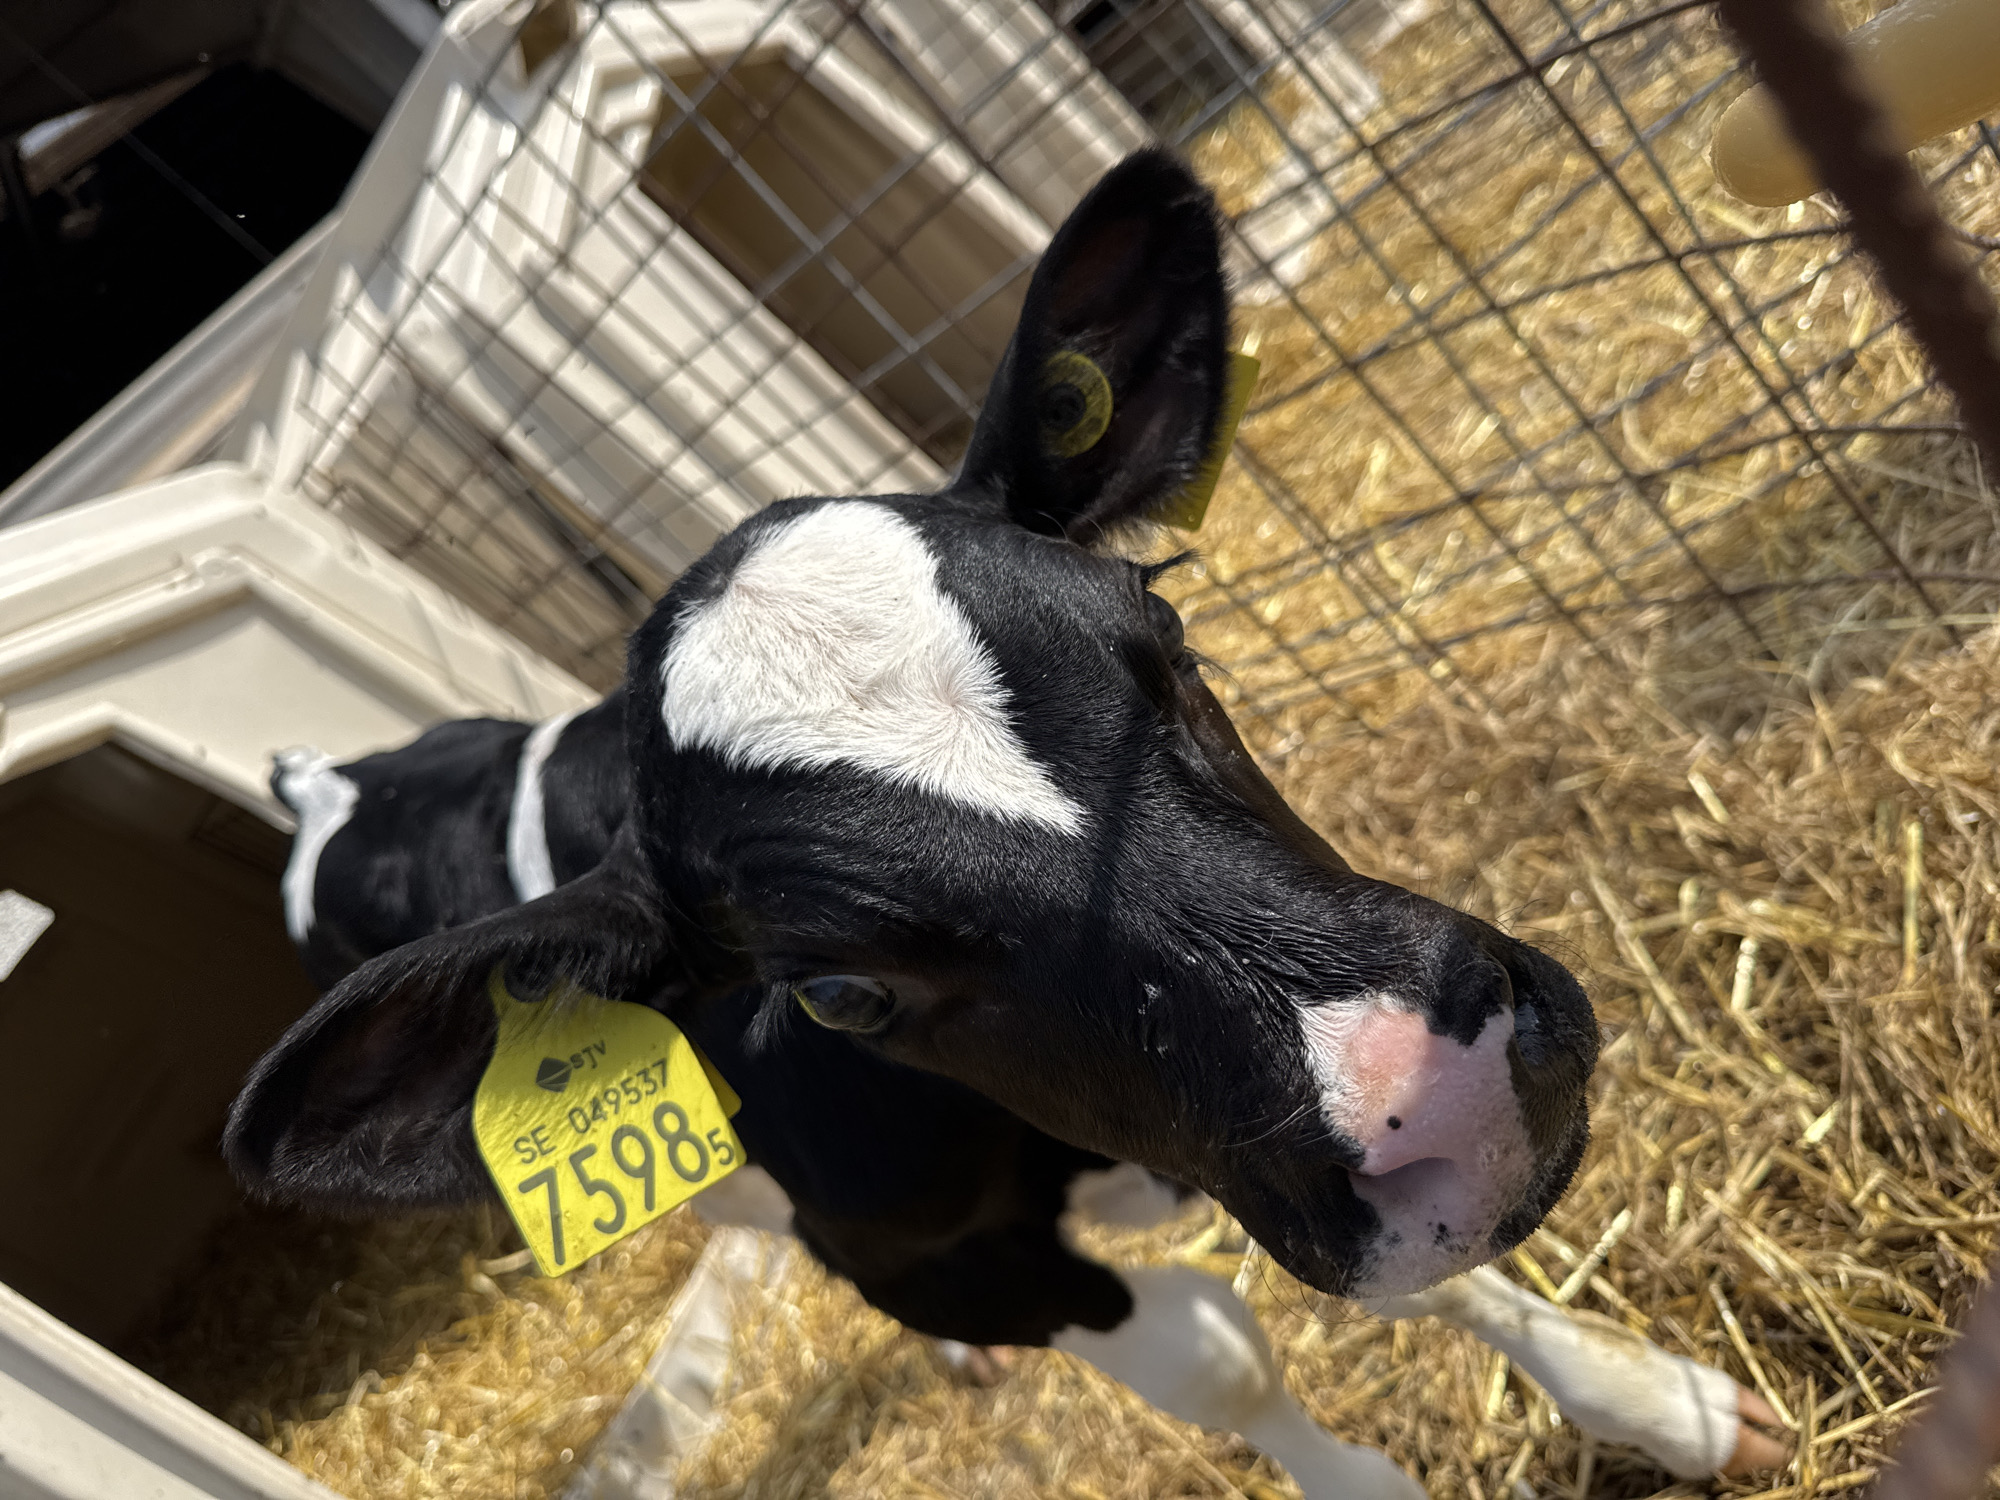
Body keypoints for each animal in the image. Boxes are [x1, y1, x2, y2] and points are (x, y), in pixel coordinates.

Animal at [239, 151, 1784, 1494]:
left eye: (1166, 641)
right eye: (837, 993)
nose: (1451, 1098)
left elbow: (1451, 1289)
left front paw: (1661, 1400)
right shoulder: (942, 1256)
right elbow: (1222, 1360)